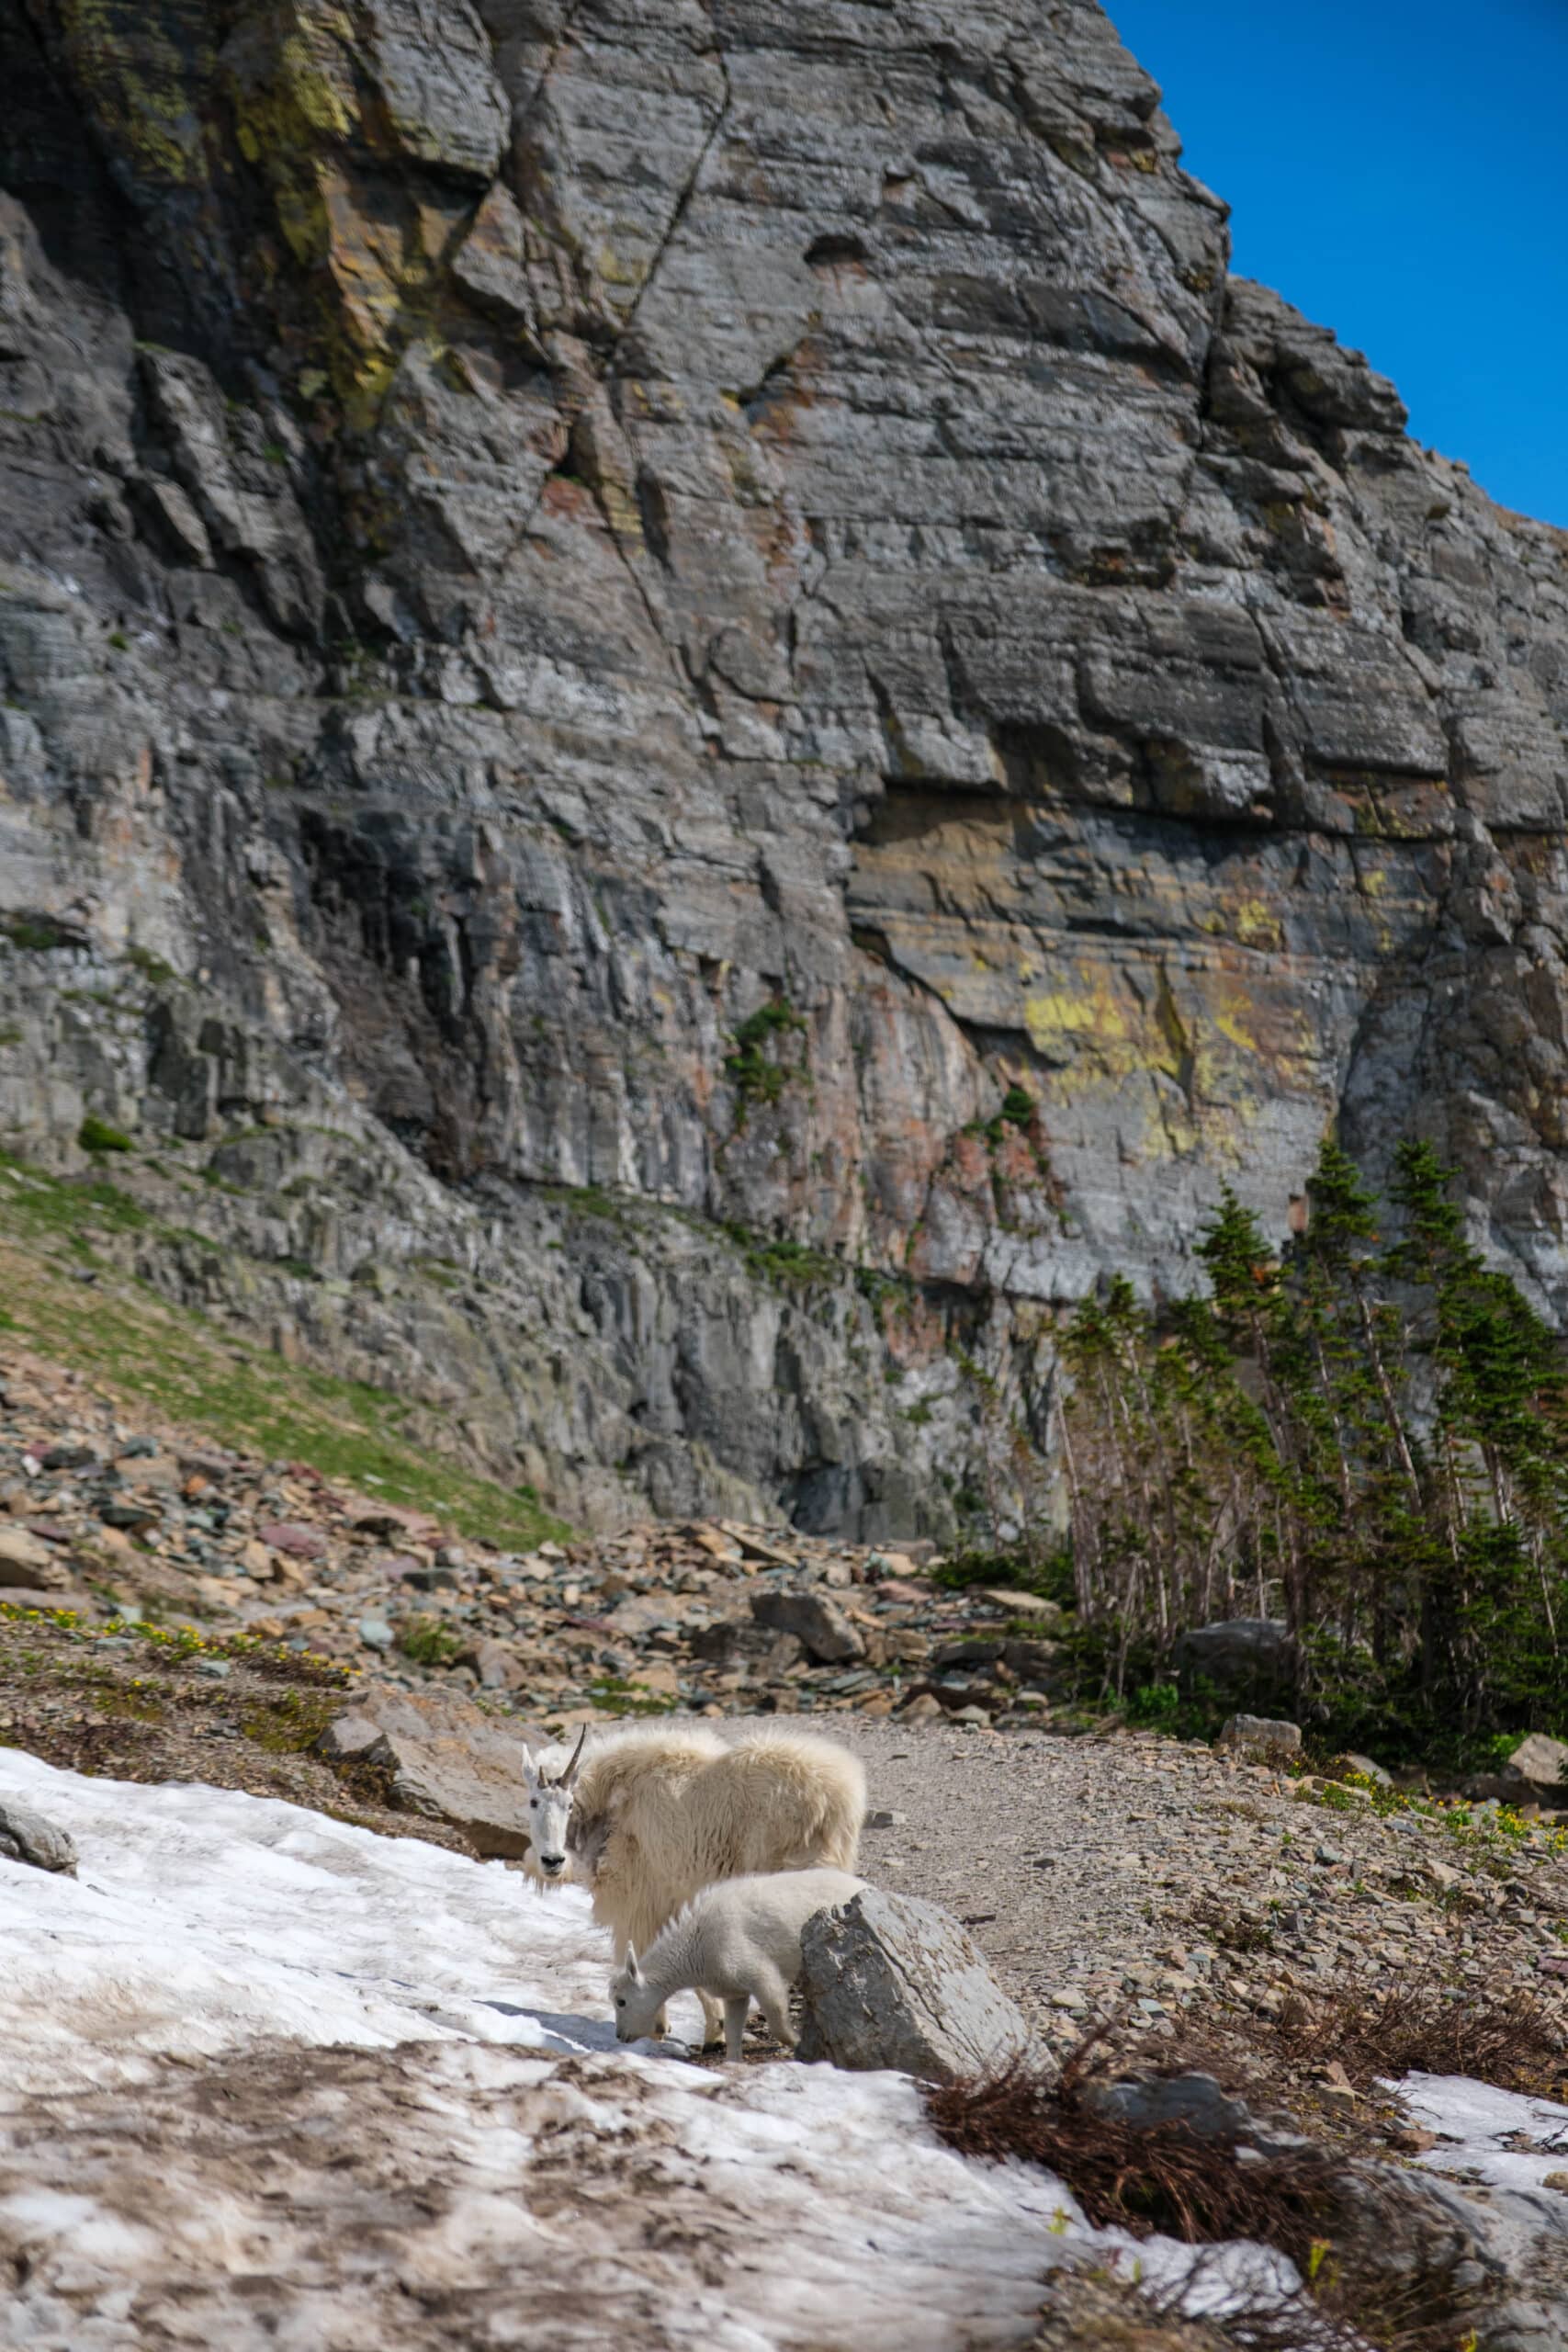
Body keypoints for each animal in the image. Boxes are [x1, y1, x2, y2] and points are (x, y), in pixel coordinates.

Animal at [611, 1867, 865, 2060]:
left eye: (621, 2001)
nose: (620, 2036)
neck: (695, 1947)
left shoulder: (755, 1969)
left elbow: (775, 2013)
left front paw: (796, 2041)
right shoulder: (733, 1991)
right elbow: (732, 2030)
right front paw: (734, 2062)